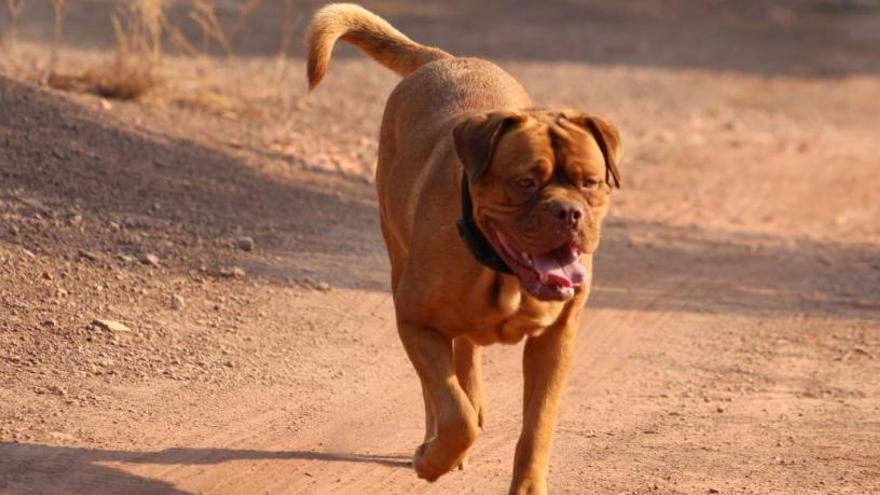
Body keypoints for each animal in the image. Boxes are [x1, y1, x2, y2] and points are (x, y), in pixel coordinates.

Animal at [306, 4, 624, 495]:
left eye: (589, 182)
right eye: (524, 182)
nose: (568, 213)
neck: (500, 270)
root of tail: (443, 58)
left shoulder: (555, 339)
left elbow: (537, 425)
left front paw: (526, 483)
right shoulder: (415, 321)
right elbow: (453, 413)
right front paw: (433, 458)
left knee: (468, 355)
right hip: (397, 258)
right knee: (446, 386)